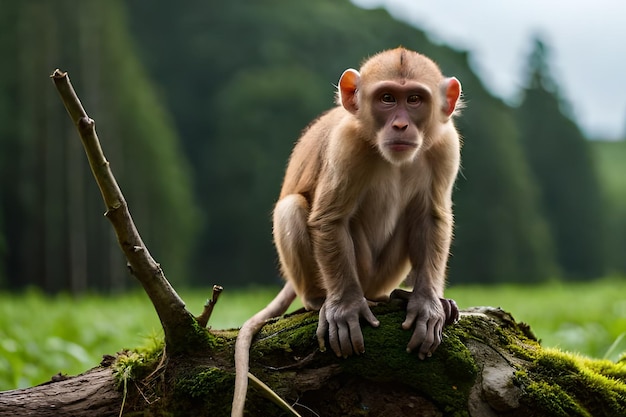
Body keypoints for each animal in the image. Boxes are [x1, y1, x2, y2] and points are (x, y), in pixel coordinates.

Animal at [232, 47, 460, 414]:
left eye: (414, 99)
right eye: (386, 98)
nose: (400, 124)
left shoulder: (445, 146)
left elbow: (431, 218)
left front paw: (427, 304)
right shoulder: (346, 145)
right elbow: (330, 219)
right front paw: (345, 307)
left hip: (382, 274)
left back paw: (396, 296)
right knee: (292, 208)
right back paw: (322, 300)